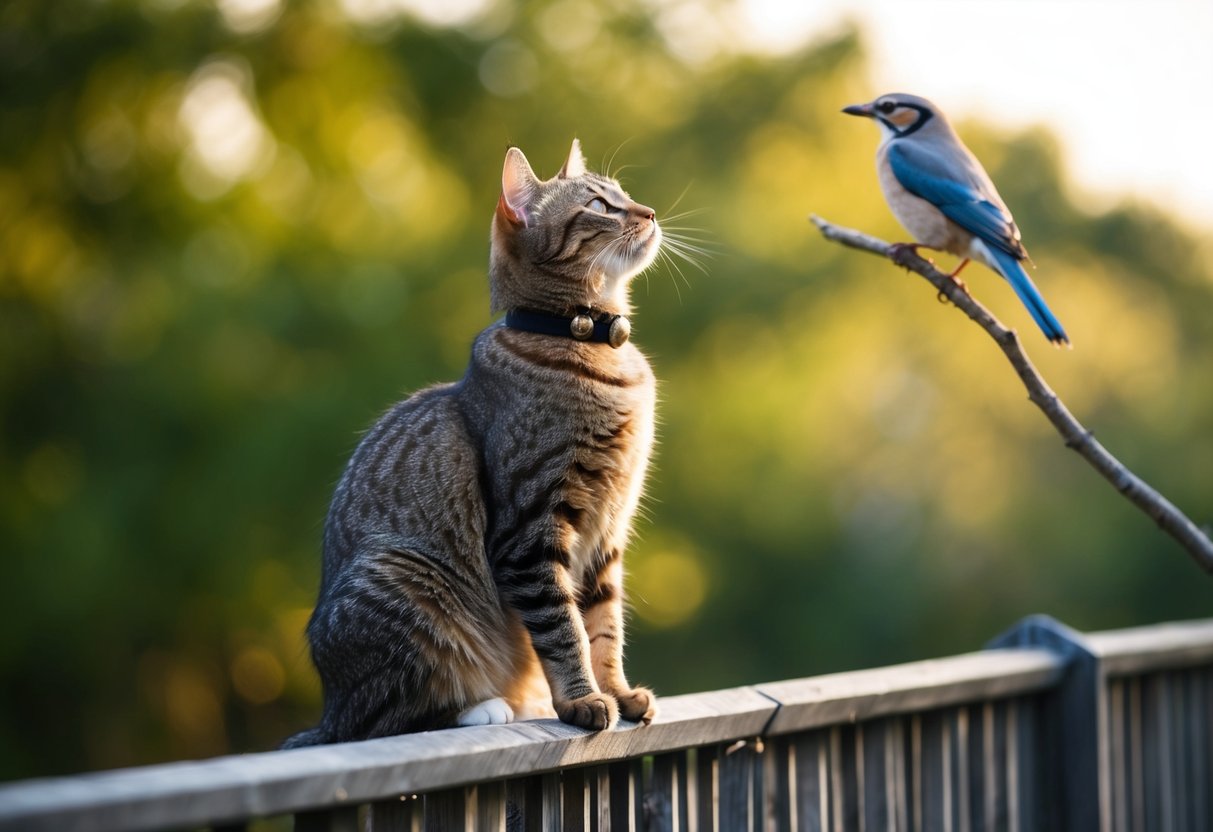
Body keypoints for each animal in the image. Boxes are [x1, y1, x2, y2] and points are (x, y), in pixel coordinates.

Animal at [281, 141, 664, 751]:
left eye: (623, 194)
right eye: (601, 205)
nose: (648, 212)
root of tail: (328, 708)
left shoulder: (606, 535)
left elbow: (604, 626)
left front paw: (619, 692)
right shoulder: (530, 533)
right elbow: (566, 630)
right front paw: (582, 701)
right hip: (404, 581)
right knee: (380, 719)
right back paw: (482, 708)